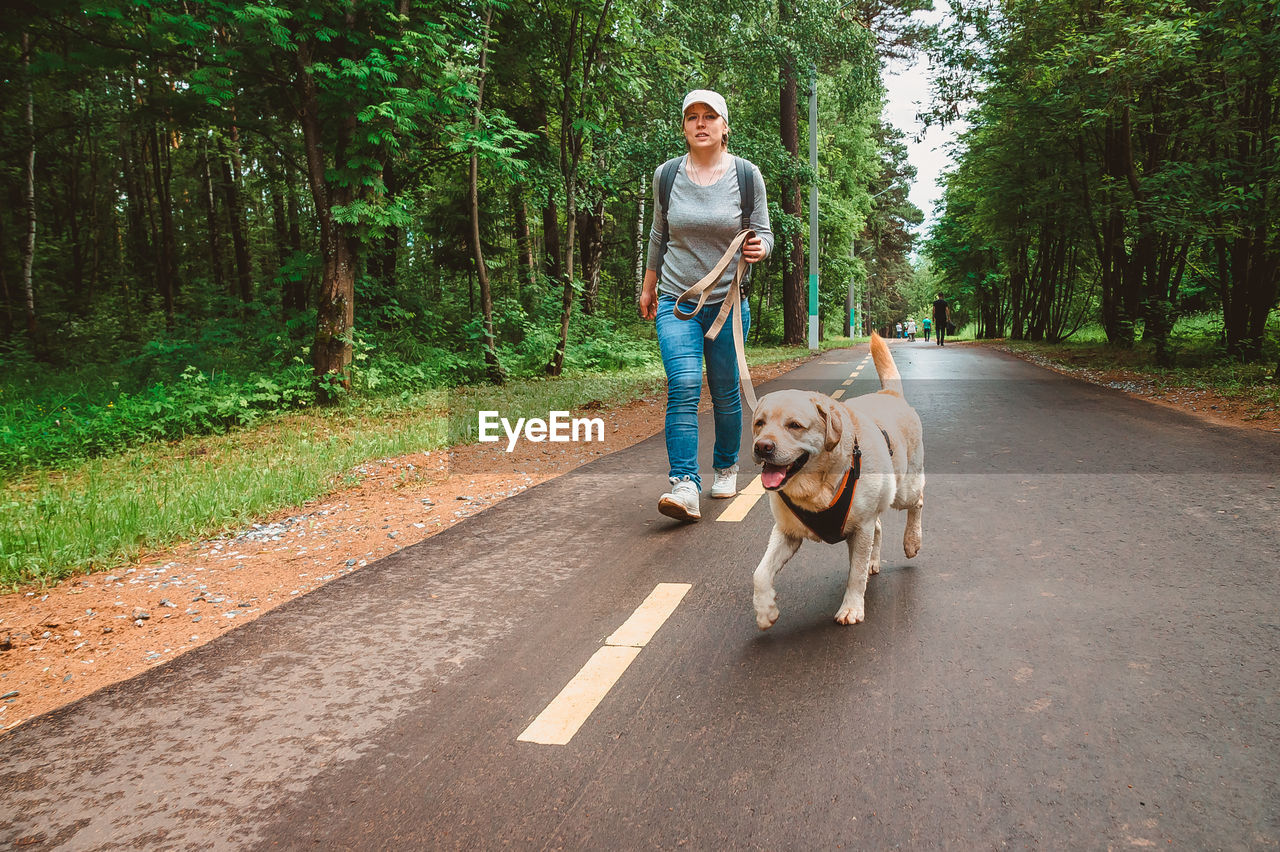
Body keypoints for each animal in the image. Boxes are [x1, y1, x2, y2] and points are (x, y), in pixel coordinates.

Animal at [747, 330, 921, 624]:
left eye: (795, 426)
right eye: (760, 423)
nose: (762, 447)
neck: (816, 488)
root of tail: (889, 393)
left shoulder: (860, 529)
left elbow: (855, 573)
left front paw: (851, 607)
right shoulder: (786, 533)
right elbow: (759, 573)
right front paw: (765, 610)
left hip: (903, 490)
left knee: (917, 503)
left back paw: (912, 541)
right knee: (879, 527)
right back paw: (875, 560)